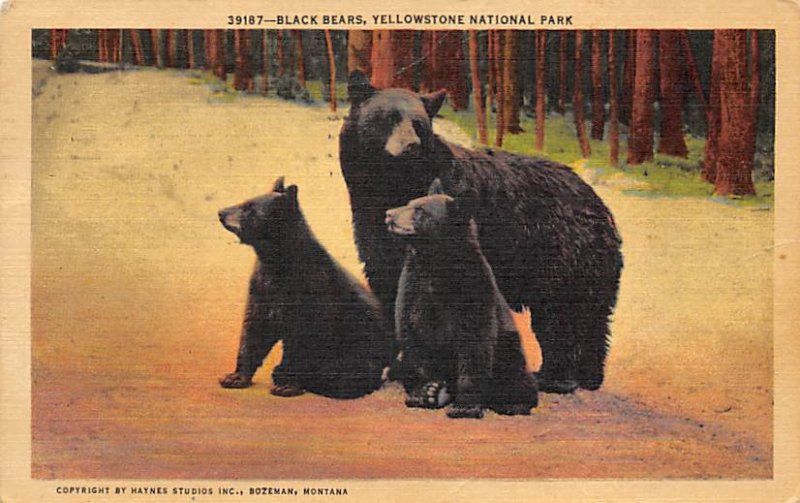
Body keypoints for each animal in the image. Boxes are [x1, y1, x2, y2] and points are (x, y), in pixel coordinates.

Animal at [219, 179, 394, 400]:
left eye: (249, 209)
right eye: (245, 201)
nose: (221, 212)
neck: (277, 262)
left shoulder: (313, 289)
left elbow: (304, 339)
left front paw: (288, 385)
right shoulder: (261, 288)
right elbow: (254, 330)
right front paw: (235, 377)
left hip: (362, 349)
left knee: (346, 373)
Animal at [340, 72, 624, 394]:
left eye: (419, 124)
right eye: (388, 118)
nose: (410, 145)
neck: (390, 184)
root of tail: (601, 208)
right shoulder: (370, 223)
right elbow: (387, 279)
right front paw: (396, 365)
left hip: (564, 257)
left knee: (561, 316)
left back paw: (555, 377)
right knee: (592, 322)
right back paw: (589, 376)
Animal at [386, 179, 536, 420]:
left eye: (420, 210)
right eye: (409, 202)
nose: (389, 214)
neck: (435, 261)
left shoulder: (473, 287)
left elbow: (474, 342)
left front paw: (464, 407)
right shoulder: (413, 286)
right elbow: (412, 333)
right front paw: (424, 392)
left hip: (510, 346)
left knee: (515, 373)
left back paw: (513, 402)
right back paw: (438, 393)